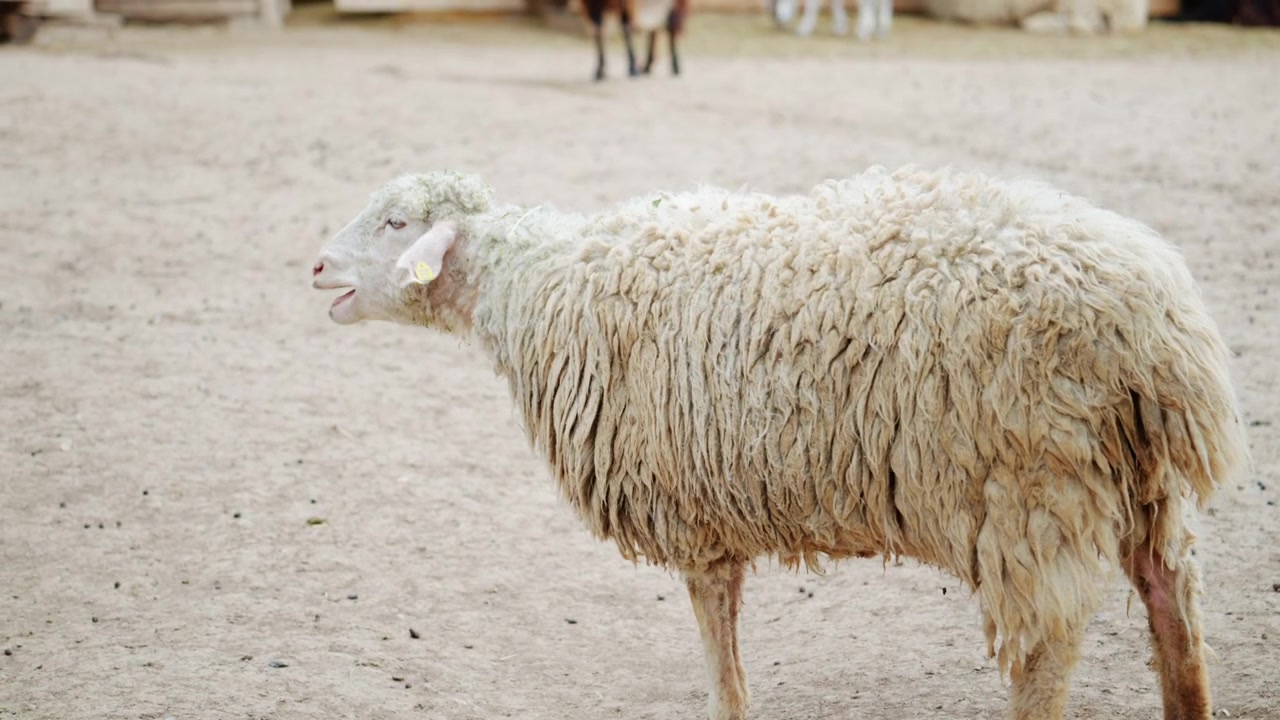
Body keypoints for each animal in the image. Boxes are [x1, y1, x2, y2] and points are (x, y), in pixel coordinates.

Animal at [311, 165, 1249, 720]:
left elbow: (718, 648)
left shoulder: (689, 511)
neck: (538, 285)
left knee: (1048, 654)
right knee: (1174, 603)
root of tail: (1161, 323)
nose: (317, 266)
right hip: (1141, 480)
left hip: (1032, 487)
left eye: (396, 222)